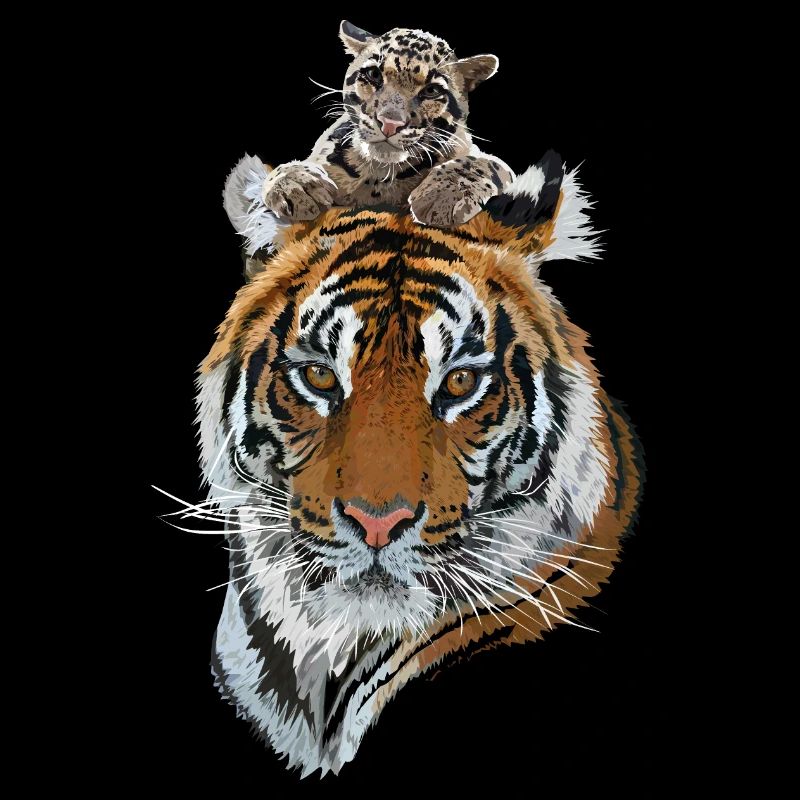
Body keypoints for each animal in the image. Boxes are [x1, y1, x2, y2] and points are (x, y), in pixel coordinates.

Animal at [232, 21, 514, 232]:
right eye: (374, 75)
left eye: (432, 91)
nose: (390, 123)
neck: (379, 174)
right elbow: (284, 168)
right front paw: (298, 183)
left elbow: (480, 162)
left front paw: (442, 195)